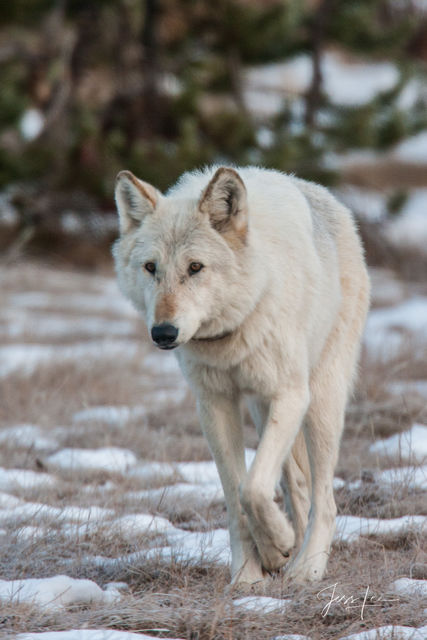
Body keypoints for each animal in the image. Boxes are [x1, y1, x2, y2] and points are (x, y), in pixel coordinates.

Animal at [113, 164, 372, 584]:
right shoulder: (214, 404)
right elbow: (237, 496)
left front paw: (277, 546)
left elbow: (252, 488)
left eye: (195, 268)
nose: (163, 333)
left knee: (325, 499)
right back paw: (292, 555)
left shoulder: (289, 394)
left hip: (319, 402)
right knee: (297, 484)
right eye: (151, 268)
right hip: (261, 408)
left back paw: (308, 567)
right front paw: (250, 573)